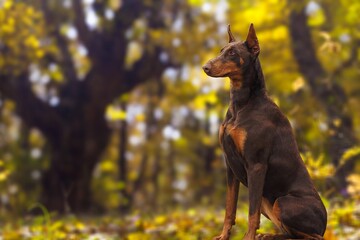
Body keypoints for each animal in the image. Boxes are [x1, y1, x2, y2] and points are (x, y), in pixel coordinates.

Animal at [202, 24, 326, 240]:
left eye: (232, 53)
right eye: (221, 50)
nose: (205, 67)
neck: (242, 103)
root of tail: (324, 224)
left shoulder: (256, 165)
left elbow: (251, 213)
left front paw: (248, 237)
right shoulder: (230, 165)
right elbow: (229, 208)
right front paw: (224, 235)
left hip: (282, 202)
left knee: (311, 237)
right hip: (268, 203)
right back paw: (269, 235)